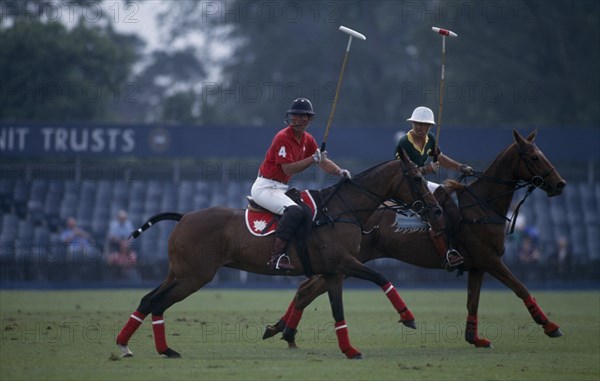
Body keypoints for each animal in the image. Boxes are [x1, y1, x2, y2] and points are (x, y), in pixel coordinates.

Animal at [115, 153, 440, 358]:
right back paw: (153, 348)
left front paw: (349, 350)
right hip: (194, 276)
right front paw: (408, 318)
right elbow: (381, 277)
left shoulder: (334, 272)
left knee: (149, 300)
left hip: (179, 273)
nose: (436, 209)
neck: (340, 211)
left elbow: (338, 311)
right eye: (415, 177)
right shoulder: (345, 263)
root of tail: (184, 216)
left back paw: (134, 346)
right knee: (158, 302)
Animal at [262, 130, 568, 348]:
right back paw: (284, 329)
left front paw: (475, 338)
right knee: (308, 288)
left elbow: (473, 302)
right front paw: (551, 326)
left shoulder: (477, 266)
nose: (560, 184)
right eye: (534, 157)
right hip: (349, 260)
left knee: (307, 288)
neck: (483, 206)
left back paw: (281, 329)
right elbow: (521, 288)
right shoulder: (490, 259)